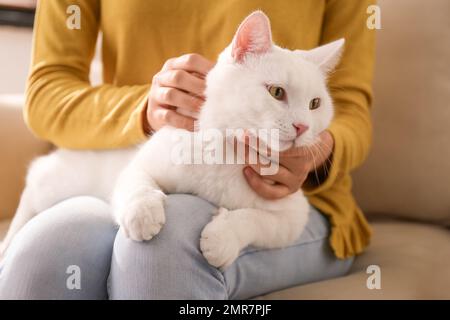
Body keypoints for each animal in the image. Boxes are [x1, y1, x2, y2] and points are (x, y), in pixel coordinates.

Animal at [0, 11, 344, 268]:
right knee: (31, 190)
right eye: (276, 92)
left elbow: (254, 221)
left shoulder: (293, 218)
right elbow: (137, 184)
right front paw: (142, 214)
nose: (302, 126)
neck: (226, 156)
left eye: (315, 104)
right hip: (56, 183)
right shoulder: (142, 165)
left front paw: (222, 238)